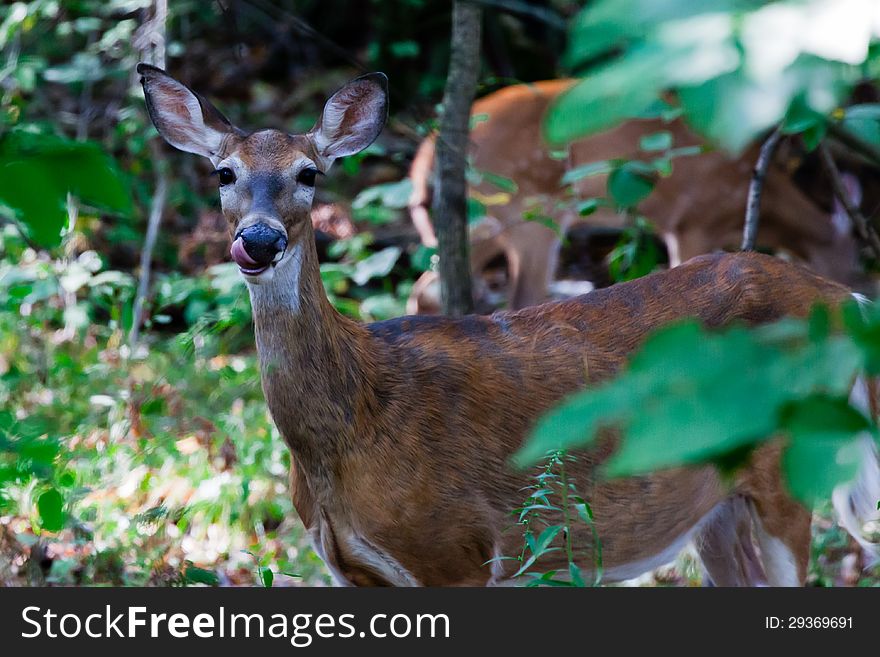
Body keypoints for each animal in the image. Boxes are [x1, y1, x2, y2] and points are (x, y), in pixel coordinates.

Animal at [410, 79, 864, 316]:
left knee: (429, 285)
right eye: (858, 270)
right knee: (521, 294)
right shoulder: (691, 222)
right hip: (528, 208)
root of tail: (429, 150)